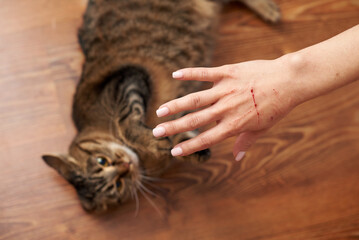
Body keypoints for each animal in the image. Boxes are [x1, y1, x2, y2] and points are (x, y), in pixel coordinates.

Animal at [42, 0, 282, 211]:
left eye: (102, 161)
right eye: (117, 186)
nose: (125, 165)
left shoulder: (125, 80)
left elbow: (126, 121)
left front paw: (152, 141)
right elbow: (181, 140)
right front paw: (188, 150)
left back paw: (268, 9)